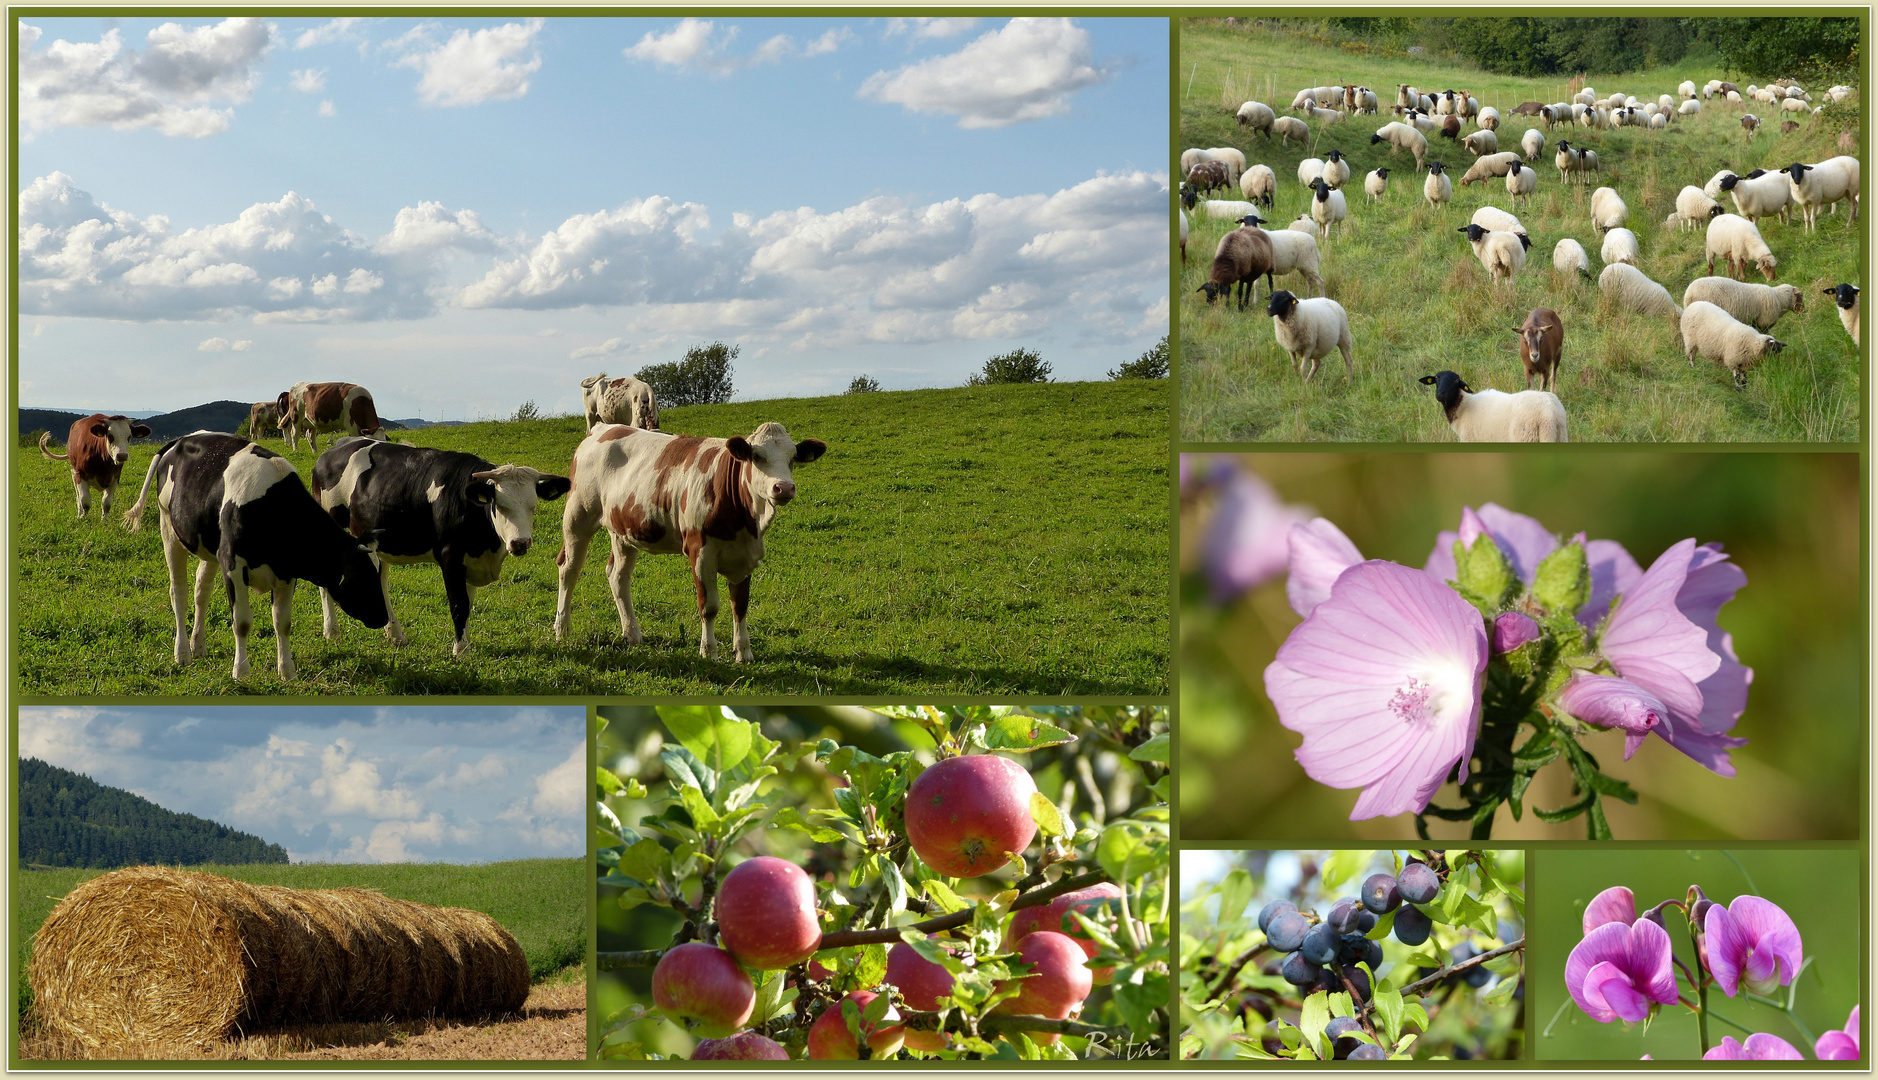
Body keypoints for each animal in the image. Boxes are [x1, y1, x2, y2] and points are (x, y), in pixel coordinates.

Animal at [123, 428, 390, 676]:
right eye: (360, 577)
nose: (383, 617)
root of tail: (183, 439)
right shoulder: (233, 564)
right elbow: (241, 622)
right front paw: (241, 672)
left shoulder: (286, 572)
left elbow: (282, 622)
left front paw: (287, 671)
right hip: (169, 528)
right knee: (179, 592)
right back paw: (182, 654)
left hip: (210, 547)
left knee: (202, 591)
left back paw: (198, 646)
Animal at [311, 439, 570, 661]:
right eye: (501, 506)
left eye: (533, 507)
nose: (520, 543)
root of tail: (332, 451)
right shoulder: (451, 558)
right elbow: (459, 605)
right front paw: (461, 651)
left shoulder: (471, 562)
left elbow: (468, 604)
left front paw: (466, 642)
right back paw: (332, 631)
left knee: (380, 580)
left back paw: (395, 634)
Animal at [548, 420, 830, 661]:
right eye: (757, 457)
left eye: (792, 459)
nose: (784, 488)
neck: (745, 521)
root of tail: (603, 427)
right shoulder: (700, 552)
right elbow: (709, 606)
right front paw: (709, 651)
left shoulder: (744, 556)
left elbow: (740, 605)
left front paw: (744, 653)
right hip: (578, 516)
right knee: (569, 570)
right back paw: (562, 629)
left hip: (623, 530)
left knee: (618, 575)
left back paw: (632, 633)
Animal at [1419, 370, 1570, 441]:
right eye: (1436, 378)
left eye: (1456, 381)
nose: (1441, 393)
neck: (1463, 406)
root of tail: (1548, 414)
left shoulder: (1470, 439)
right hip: (1560, 435)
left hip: (1526, 436)